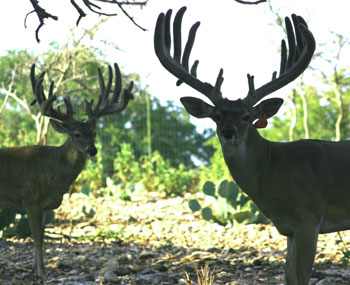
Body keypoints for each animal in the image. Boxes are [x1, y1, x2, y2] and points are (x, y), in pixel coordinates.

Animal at [0, 61, 134, 280]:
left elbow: (42, 237)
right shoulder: (30, 199)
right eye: (77, 134)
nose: (93, 150)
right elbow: (37, 239)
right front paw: (42, 274)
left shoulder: (45, 206)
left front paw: (36, 270)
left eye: (94, 132)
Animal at [155, 5, 348, 282]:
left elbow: (302, 278)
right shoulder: (289, 228)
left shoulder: (309, 218)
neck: (272, 169)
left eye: (247, 116)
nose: (229, 132)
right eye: (217, 115)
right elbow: (288, 277)